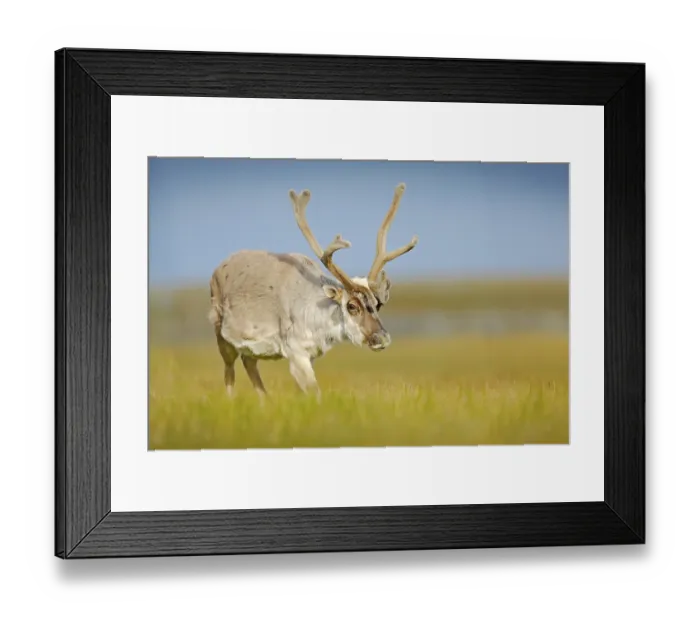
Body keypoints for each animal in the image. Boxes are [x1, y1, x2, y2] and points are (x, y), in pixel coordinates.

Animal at [207, 182, 418, 399]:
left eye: (378, 304)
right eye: (351, 306)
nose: (382, 338)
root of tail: (217, 269)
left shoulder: (311, 355)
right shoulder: (296, 353)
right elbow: (315, 393)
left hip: (251, 347)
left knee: (249, 362)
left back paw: (264, 401)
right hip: (221, 335)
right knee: (229, 371)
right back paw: (232, 401)